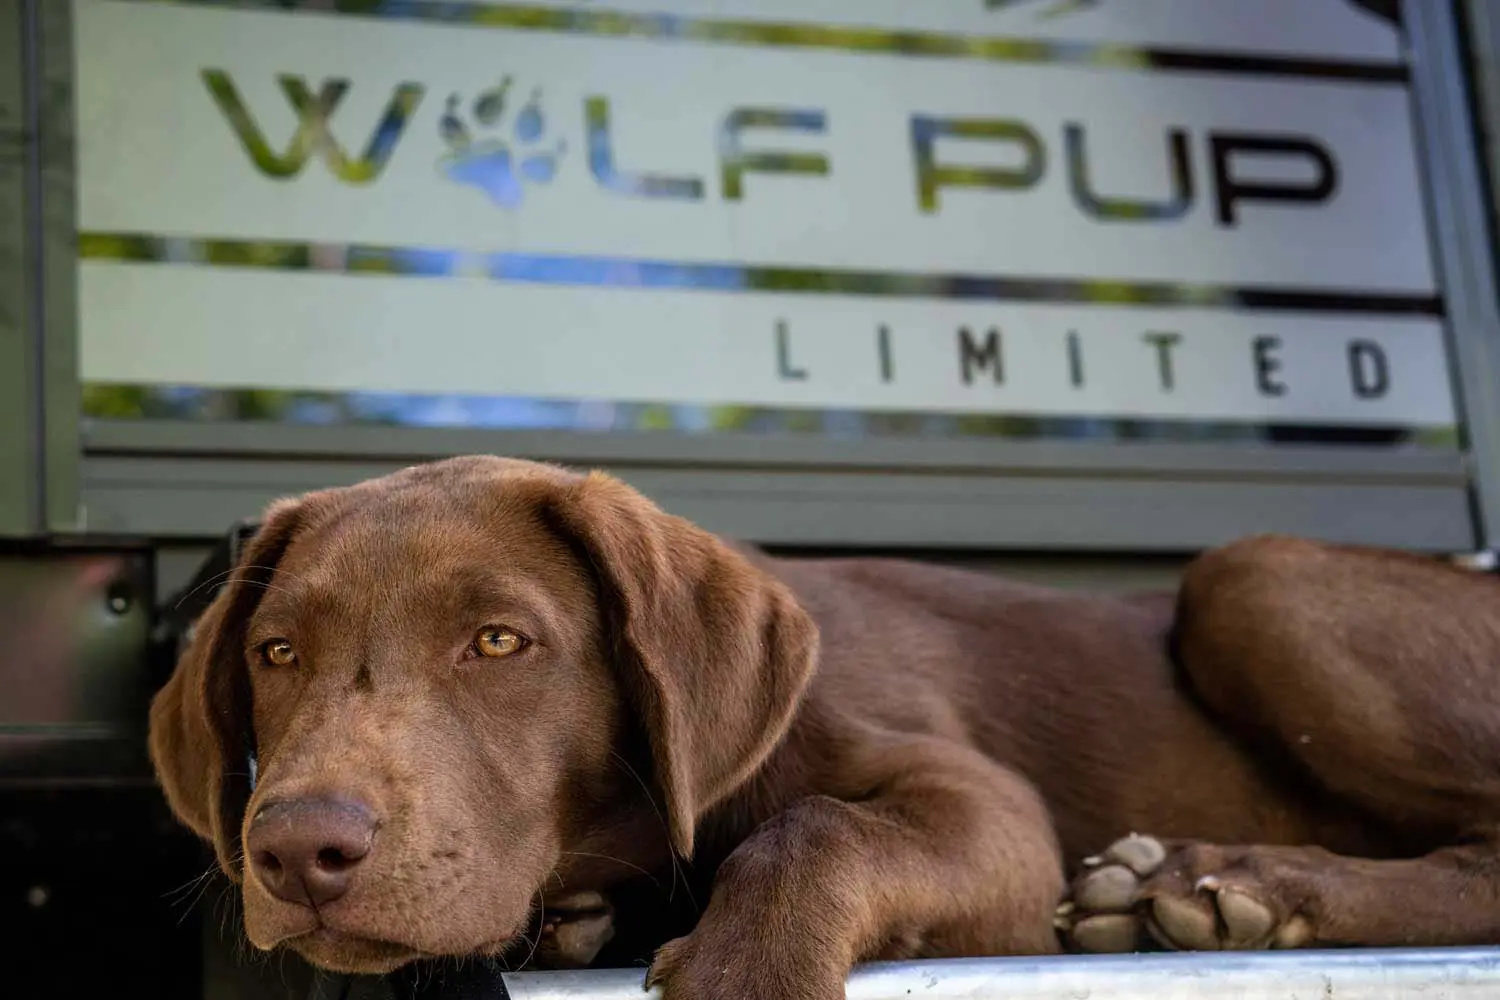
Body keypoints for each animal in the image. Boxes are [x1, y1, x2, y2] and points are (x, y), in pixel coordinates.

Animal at [148, 454, 1500, 998]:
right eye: (276, 654)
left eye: (497, 642)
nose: (295, 850)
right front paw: (579, 920)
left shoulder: (990, 809)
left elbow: (817, 825)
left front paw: (750, 966)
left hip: (1249, 574)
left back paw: (1239, 886)